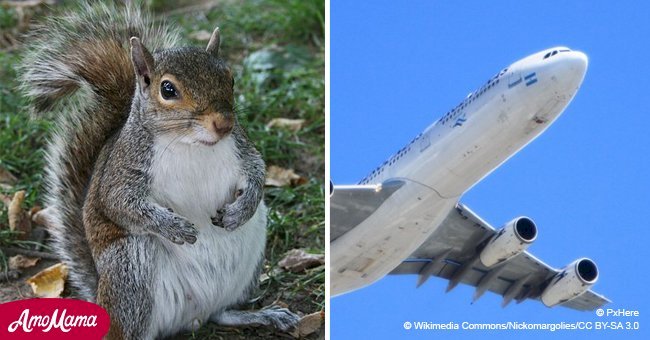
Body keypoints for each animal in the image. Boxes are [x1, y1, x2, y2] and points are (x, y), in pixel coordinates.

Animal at [18, 1, 298, 338]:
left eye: (230, 78)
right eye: (168, 89)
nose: (224, 123)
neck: (191, 143)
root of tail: (191, 317)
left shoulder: (241, 148)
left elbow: (257, 170)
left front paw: (240, 209)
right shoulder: (123, 169)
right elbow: (119, 203)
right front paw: (174, 227)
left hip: (250, 253)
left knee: (221, 313)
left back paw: (262, 315)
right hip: (130, 267)